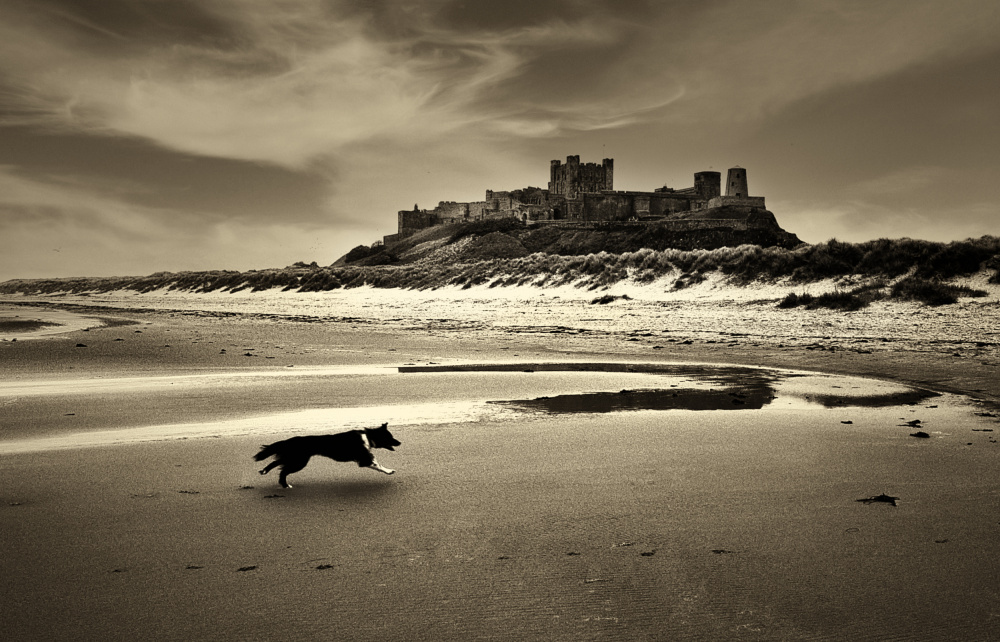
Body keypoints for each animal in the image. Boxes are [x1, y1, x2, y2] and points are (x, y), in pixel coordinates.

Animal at [252, 422, 400, 488]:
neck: (368, 436)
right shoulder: (363, 458)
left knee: (276, 464)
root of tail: (290, 440)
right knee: (283, 471)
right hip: (299, 461)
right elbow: (377, 464)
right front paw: (389, 471)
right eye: (390, 437)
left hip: (294, 458)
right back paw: (285, 485)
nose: (400, 442)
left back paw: (264, 471)